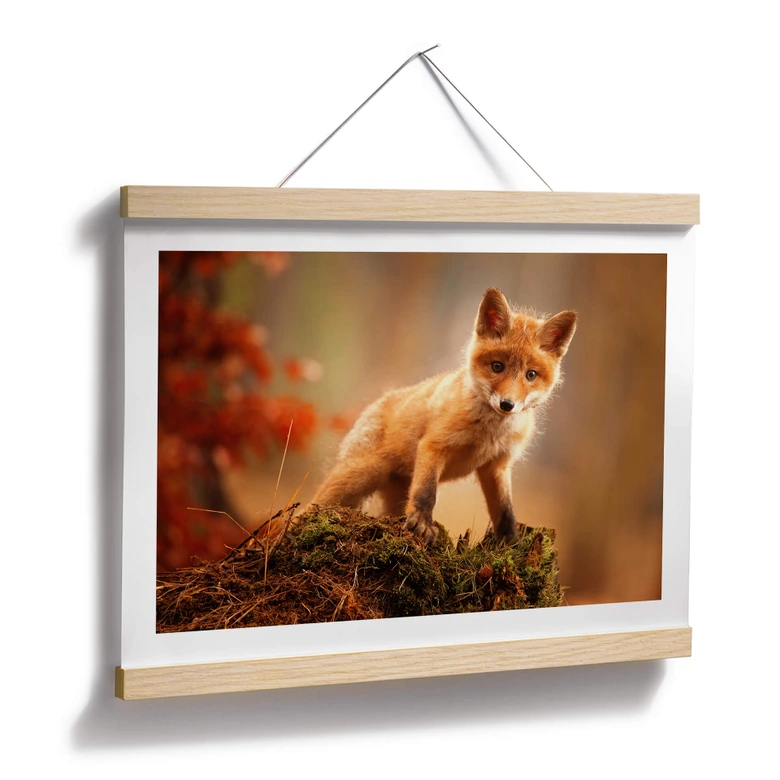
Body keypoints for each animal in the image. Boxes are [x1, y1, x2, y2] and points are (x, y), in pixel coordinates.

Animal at [312, 287, 577, 544]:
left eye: (531, 374)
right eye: (497, 366)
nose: (507, 404)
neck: (489, 432)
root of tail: (375, 403)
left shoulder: (497, 465)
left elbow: (505, 512)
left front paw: (511, 543)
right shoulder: (434, 445)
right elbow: (426, 493)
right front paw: (422, 524)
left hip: (392, 494)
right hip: (358, 476)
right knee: (312, 505)